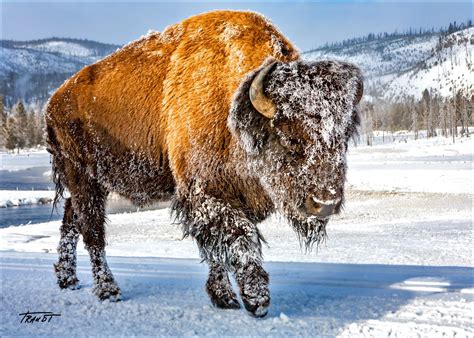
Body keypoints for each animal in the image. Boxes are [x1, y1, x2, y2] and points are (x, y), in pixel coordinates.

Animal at [45, 9, 362, 316]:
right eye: (290, 137)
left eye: (344, 137)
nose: (325, 204)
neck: (233, 103)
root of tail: (53, 101)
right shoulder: (206, 193)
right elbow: (238, 237)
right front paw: (255, 300)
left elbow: (215, 248)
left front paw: (224, 297)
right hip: (83, 178)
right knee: (92, 232)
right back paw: (108, 290)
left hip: (89, 183)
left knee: (71, 220)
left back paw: (67, 279)